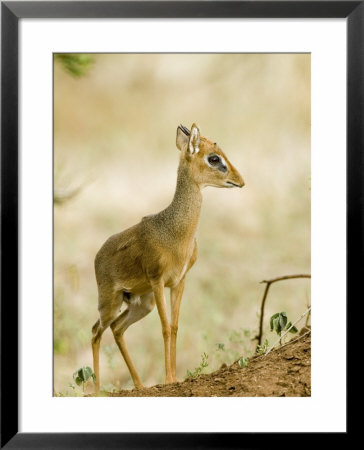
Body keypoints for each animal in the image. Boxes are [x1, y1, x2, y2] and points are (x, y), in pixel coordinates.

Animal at [91, 123, 245, 390]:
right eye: (214, 158)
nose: (240, 181)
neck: (176, 233)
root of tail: (97, 256)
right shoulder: (157, 280)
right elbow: (164, 327)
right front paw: (168, 379)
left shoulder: (178, 282)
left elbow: (174, 327)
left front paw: (173, 378)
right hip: (110, 302)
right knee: (95, 332)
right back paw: (95, 390)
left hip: (141, 303)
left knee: (117, 328)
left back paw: (139, 385)